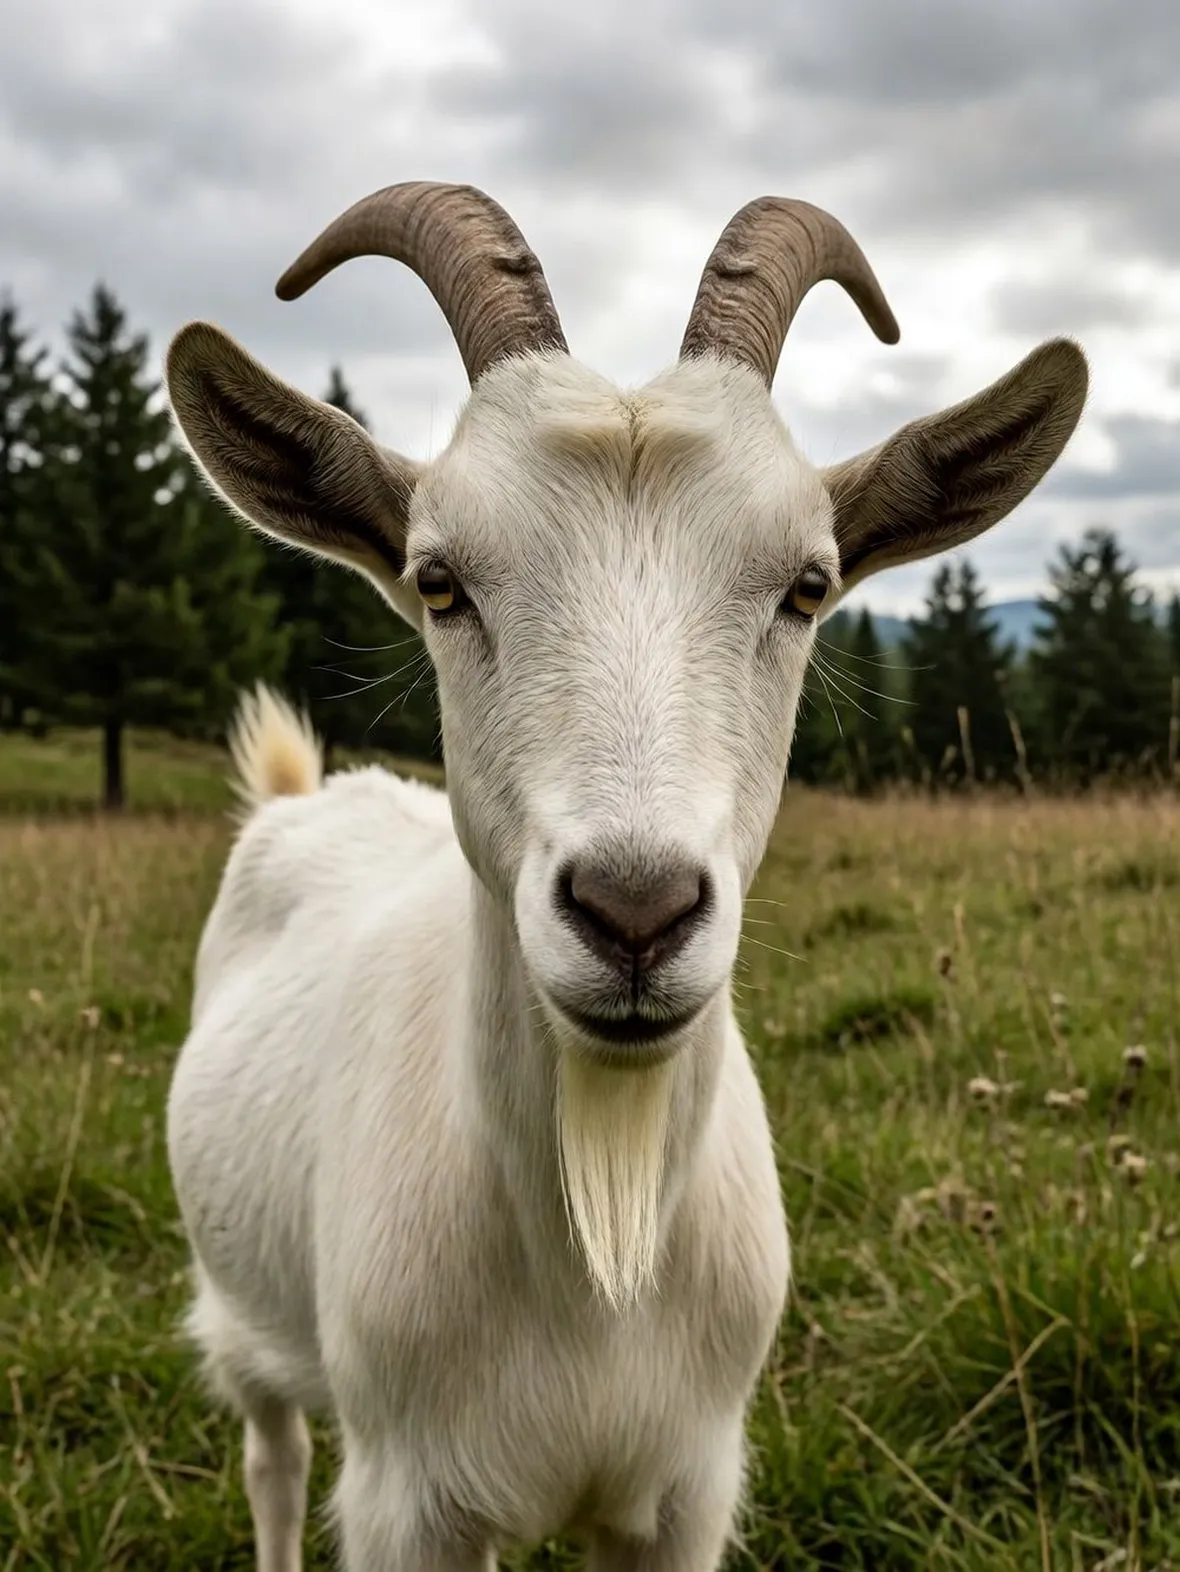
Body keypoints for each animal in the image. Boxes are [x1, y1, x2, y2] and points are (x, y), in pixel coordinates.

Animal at [163, 181, 1087, 1571]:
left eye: (806, 585)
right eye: (439, 582)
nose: (636, 912)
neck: (591, 1264)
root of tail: (302, 793)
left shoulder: (683, 1491)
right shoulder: (405, 1501)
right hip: (243, 1316)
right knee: (271, 1458)